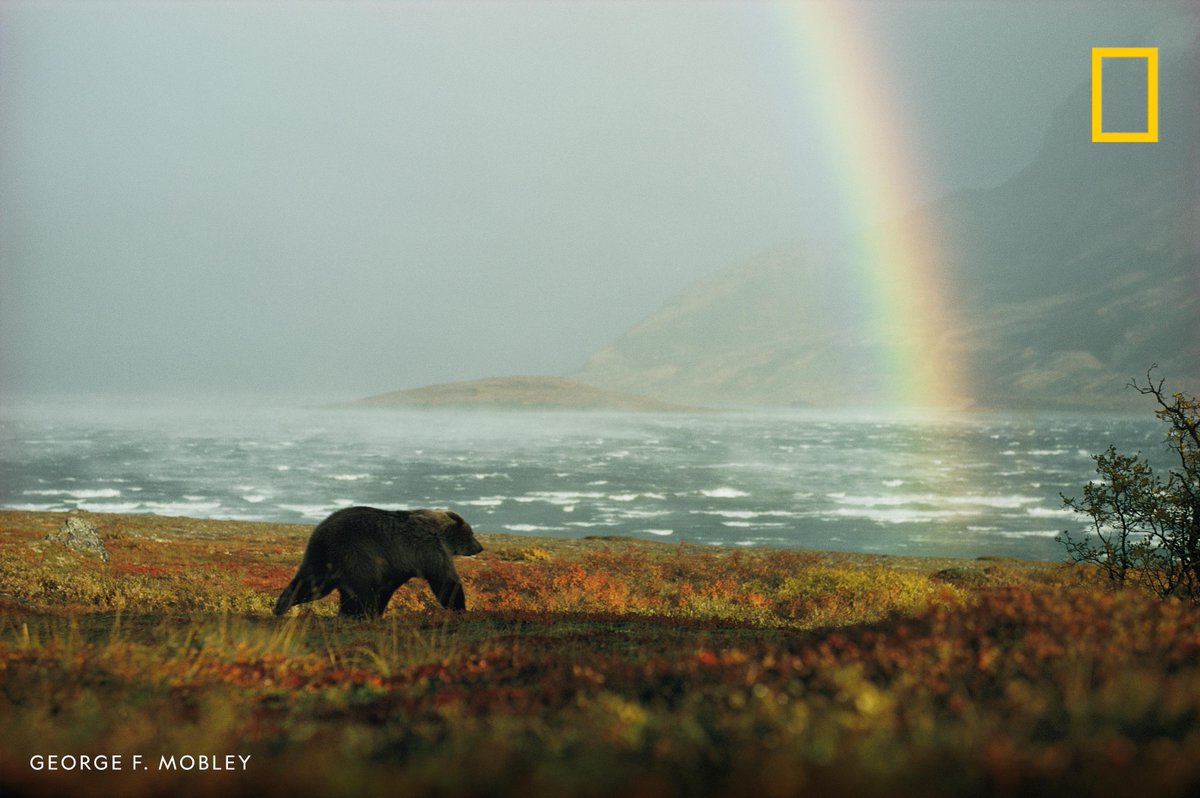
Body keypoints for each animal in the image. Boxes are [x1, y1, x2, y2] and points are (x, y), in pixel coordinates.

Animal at [272, 506, 484, 618]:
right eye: (472, 533)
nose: (480, 547)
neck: (441, 534)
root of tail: (322, 532)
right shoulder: (428, 550)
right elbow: (445, 581)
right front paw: (459, 607)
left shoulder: (396, 565)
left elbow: (385, 588)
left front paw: (377, 611)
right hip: (354, 554)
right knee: (358, 592)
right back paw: (355, 614)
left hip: (321, 558)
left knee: (310, 584)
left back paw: (281, 605)